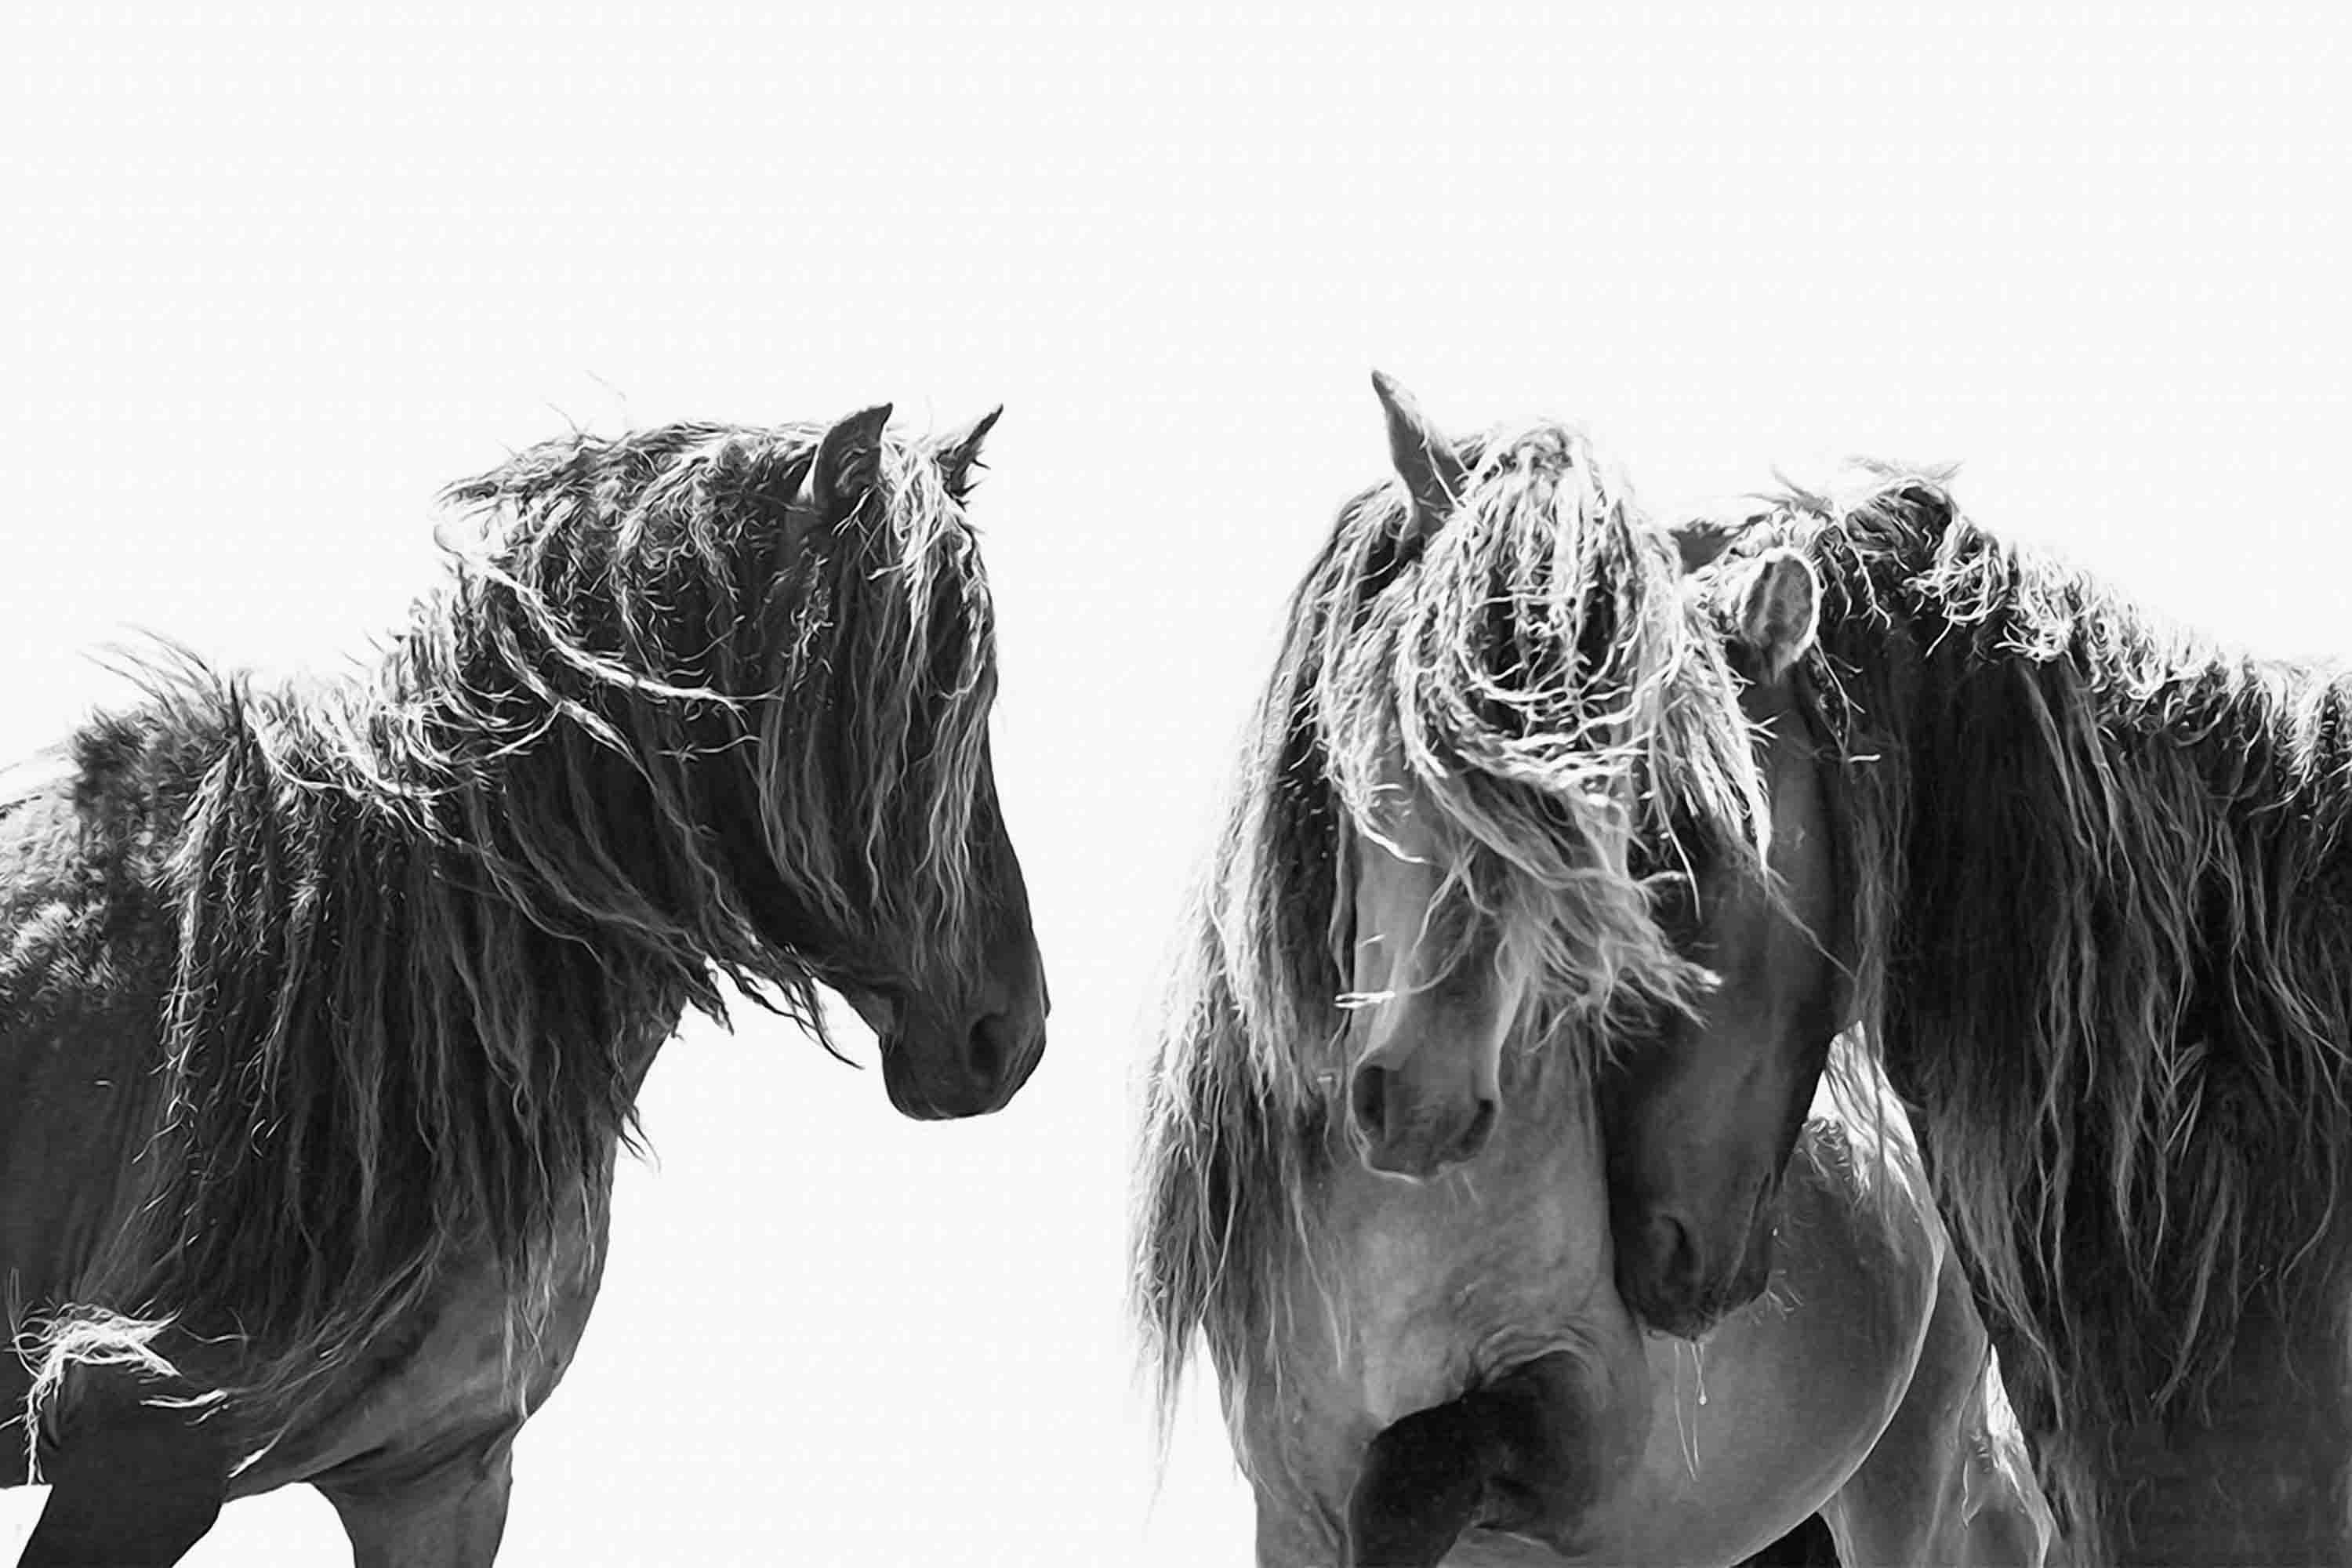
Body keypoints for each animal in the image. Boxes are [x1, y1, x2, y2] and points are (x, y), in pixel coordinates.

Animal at [1126, 376, 2050, 1565]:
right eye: (1396, 720)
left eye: (1611, 789)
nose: (1424, 1103)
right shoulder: (1288, 1501)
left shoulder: (1583, 1427)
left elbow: (1412, 1472)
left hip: (1909, 1483)